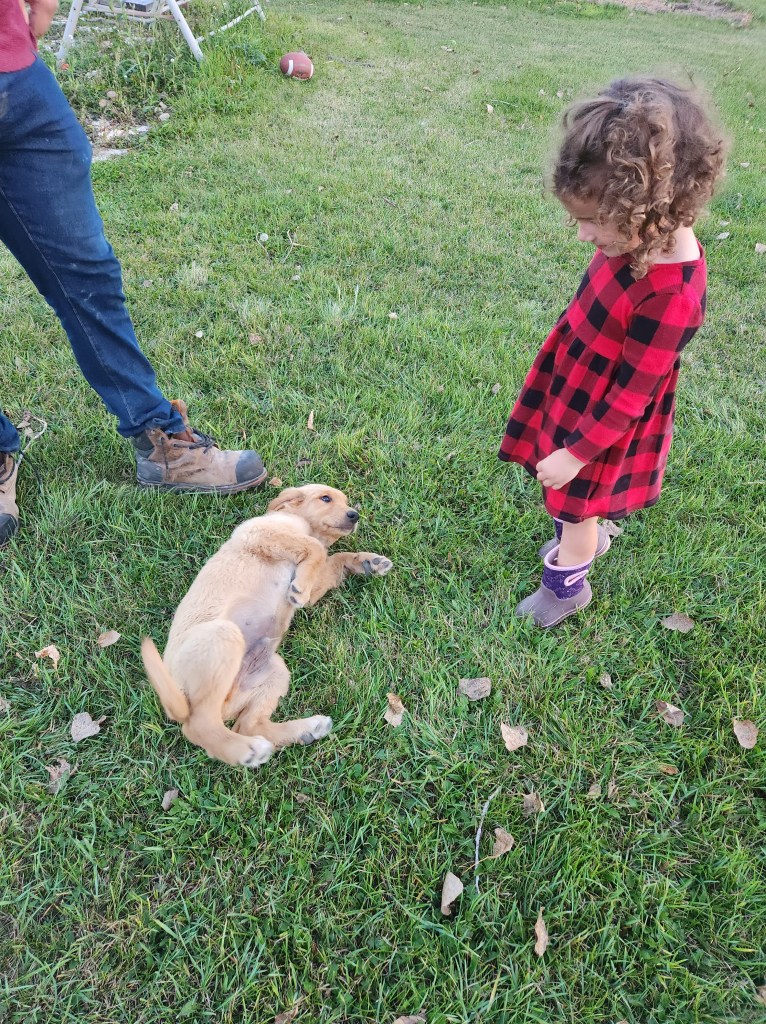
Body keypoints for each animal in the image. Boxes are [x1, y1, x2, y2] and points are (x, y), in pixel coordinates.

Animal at [141, 484, 392, 767]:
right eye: (325, 498)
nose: (354, 515)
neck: (305, 525)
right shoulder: (262, 533)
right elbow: (315, 549)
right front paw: (304, 585)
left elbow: (333, 559)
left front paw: (368, 562)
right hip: (223, 635)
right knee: (199, 725)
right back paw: (247, 750)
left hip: (274, 670)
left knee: (247, 725)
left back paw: (307, 729)